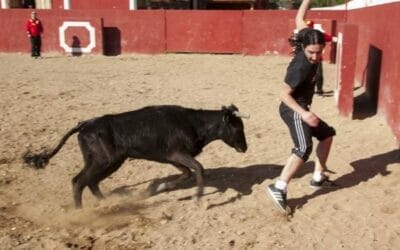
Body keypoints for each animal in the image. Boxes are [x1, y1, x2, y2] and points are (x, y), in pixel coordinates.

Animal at [23, 104, 248, 208]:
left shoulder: (173, 158)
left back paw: (108, 203)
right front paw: (197, 198)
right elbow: (199, 168)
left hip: (108, 161)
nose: (245, 147)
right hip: (104, 160)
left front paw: (157, 188)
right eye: (238, 128)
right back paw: (80, 212)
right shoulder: (177, 153)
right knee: (79, 181)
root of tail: (86, 124)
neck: (193, 123)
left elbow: (187, 173)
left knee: (91, 181)